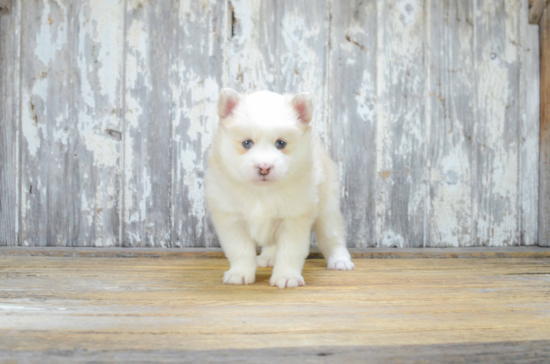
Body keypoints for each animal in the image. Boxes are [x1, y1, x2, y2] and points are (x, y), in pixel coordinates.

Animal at [205, 89, 356, 288]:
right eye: (247, 143)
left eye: (281, 143)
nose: (264, 167)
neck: (262, 192)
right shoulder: (232, 220)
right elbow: (240, 250)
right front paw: (240, 273)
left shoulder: (293, 219)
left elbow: (289, 251)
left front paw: (286, 276)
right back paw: (268, 258)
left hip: (327, 209)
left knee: (333, 237)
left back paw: (340, 260)